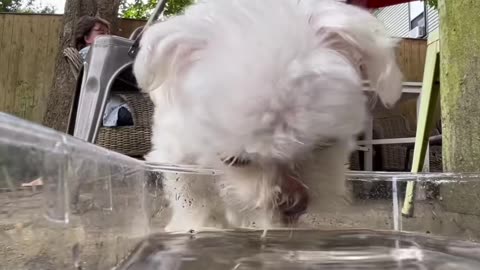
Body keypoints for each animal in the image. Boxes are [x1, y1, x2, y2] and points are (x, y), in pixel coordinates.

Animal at [133, 0, 404, 232]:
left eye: (324, 145)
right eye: (235, 160)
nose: (294, 203)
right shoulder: (177, 154)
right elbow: (192, 193)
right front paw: (198, 226)